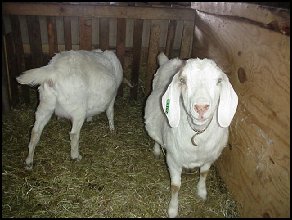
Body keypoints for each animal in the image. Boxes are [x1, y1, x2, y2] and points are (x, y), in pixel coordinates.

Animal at [145, 52, 238, 217]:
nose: (201, 107)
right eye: (183, 80)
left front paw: (202, 192)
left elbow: (204, 173)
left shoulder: (210, 157)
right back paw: (156, 149)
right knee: (157, 138)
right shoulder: (173, 160)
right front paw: (173, 209)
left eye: (219, 80)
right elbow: (175, 186)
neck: (197, 134)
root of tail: (171, 61)